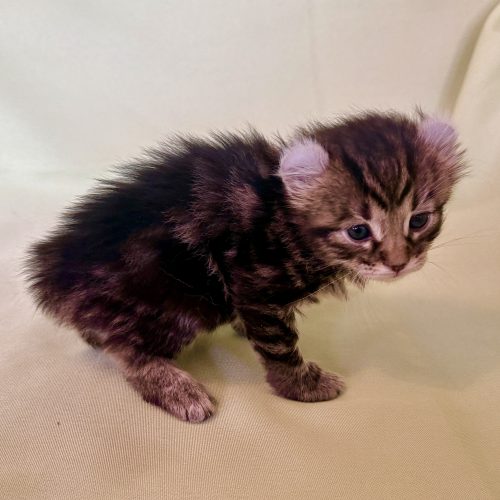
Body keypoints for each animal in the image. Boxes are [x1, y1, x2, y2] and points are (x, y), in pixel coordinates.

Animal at [26, 111, 465, 422]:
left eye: (419, 220)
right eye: (358, 231)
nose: (398, 263)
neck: (283, 216)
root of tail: (53, 272)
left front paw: (241, 329)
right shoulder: (255, 282)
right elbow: (279, 345)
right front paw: (301, 387)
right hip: (180, 300)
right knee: (125, 351)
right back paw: (175, 388)